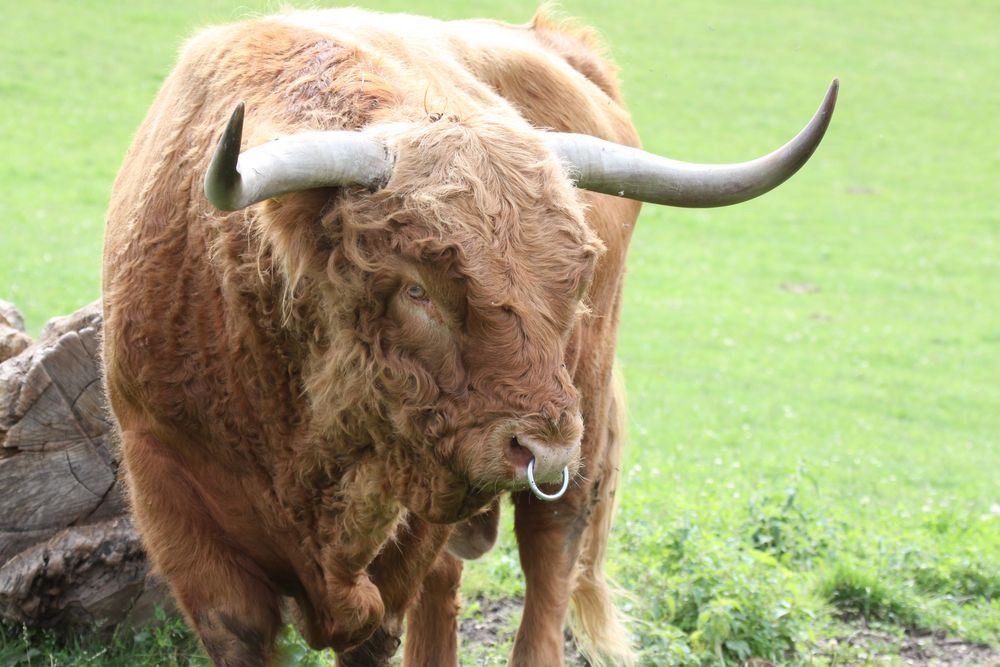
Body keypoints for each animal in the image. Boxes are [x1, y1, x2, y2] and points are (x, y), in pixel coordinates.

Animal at [103, 6, 836, 667]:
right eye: (416, 288)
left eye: (573, 284)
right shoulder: (174, 497)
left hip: (582, 426)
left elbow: (378, 627)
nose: (542, 446)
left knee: (547, 564)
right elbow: (247, 627)